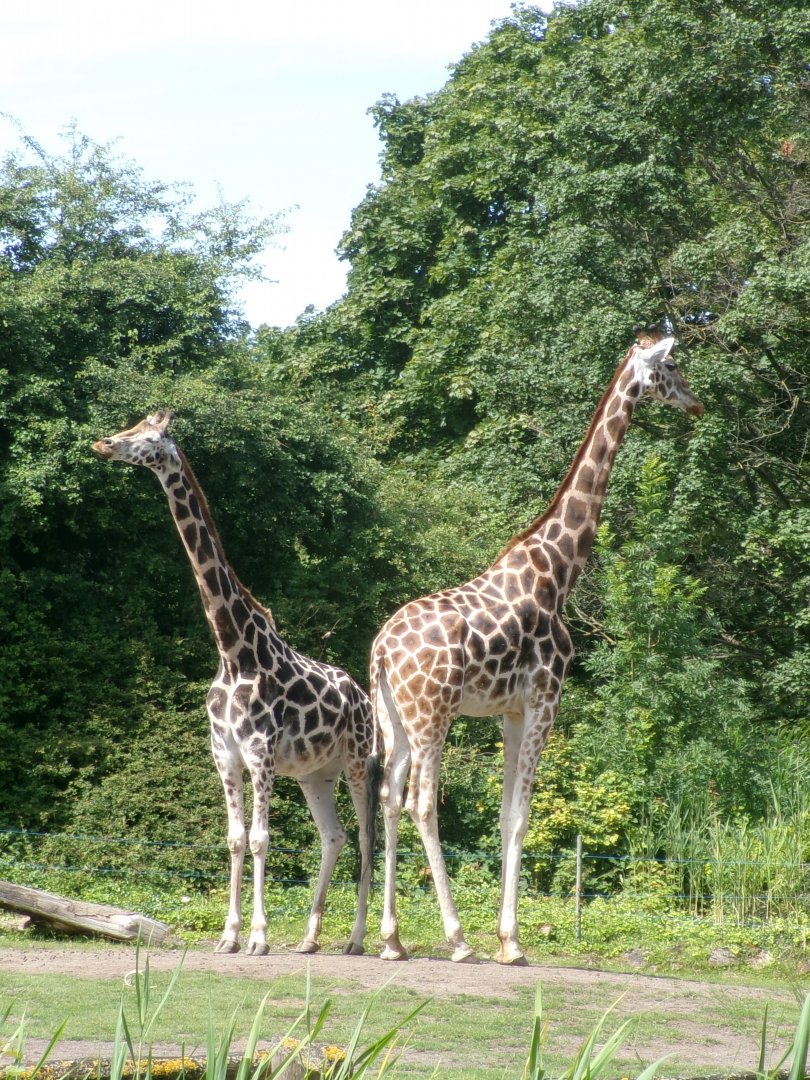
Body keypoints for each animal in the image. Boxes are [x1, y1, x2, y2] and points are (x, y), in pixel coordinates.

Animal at [93, 410, 380, 957]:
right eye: (131, 425)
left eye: (148, 435)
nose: (103, 443)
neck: (232, 652)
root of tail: (365, 698)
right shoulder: (223, 752)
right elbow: (234, 837)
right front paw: (229, 936)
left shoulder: (260, 751)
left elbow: (262, 838)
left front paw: (259, 938)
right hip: (316, 773)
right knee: (333, 837)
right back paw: (309, 939)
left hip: (357, 761)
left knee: (367, 836)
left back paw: (356, 939)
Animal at [370, 327, 704, 966]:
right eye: (672, 366)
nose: (697, 404)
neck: (558, 571)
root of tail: (378, 651)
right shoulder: (546, 700)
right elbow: (522, 817)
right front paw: (511, 941)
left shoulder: (511, 710)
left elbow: (506, 815)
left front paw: (507, 936)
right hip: (433, 714)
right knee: (422, 802)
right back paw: (457, 940)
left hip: (394, 719)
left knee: (388, 798)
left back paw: (392, 940)